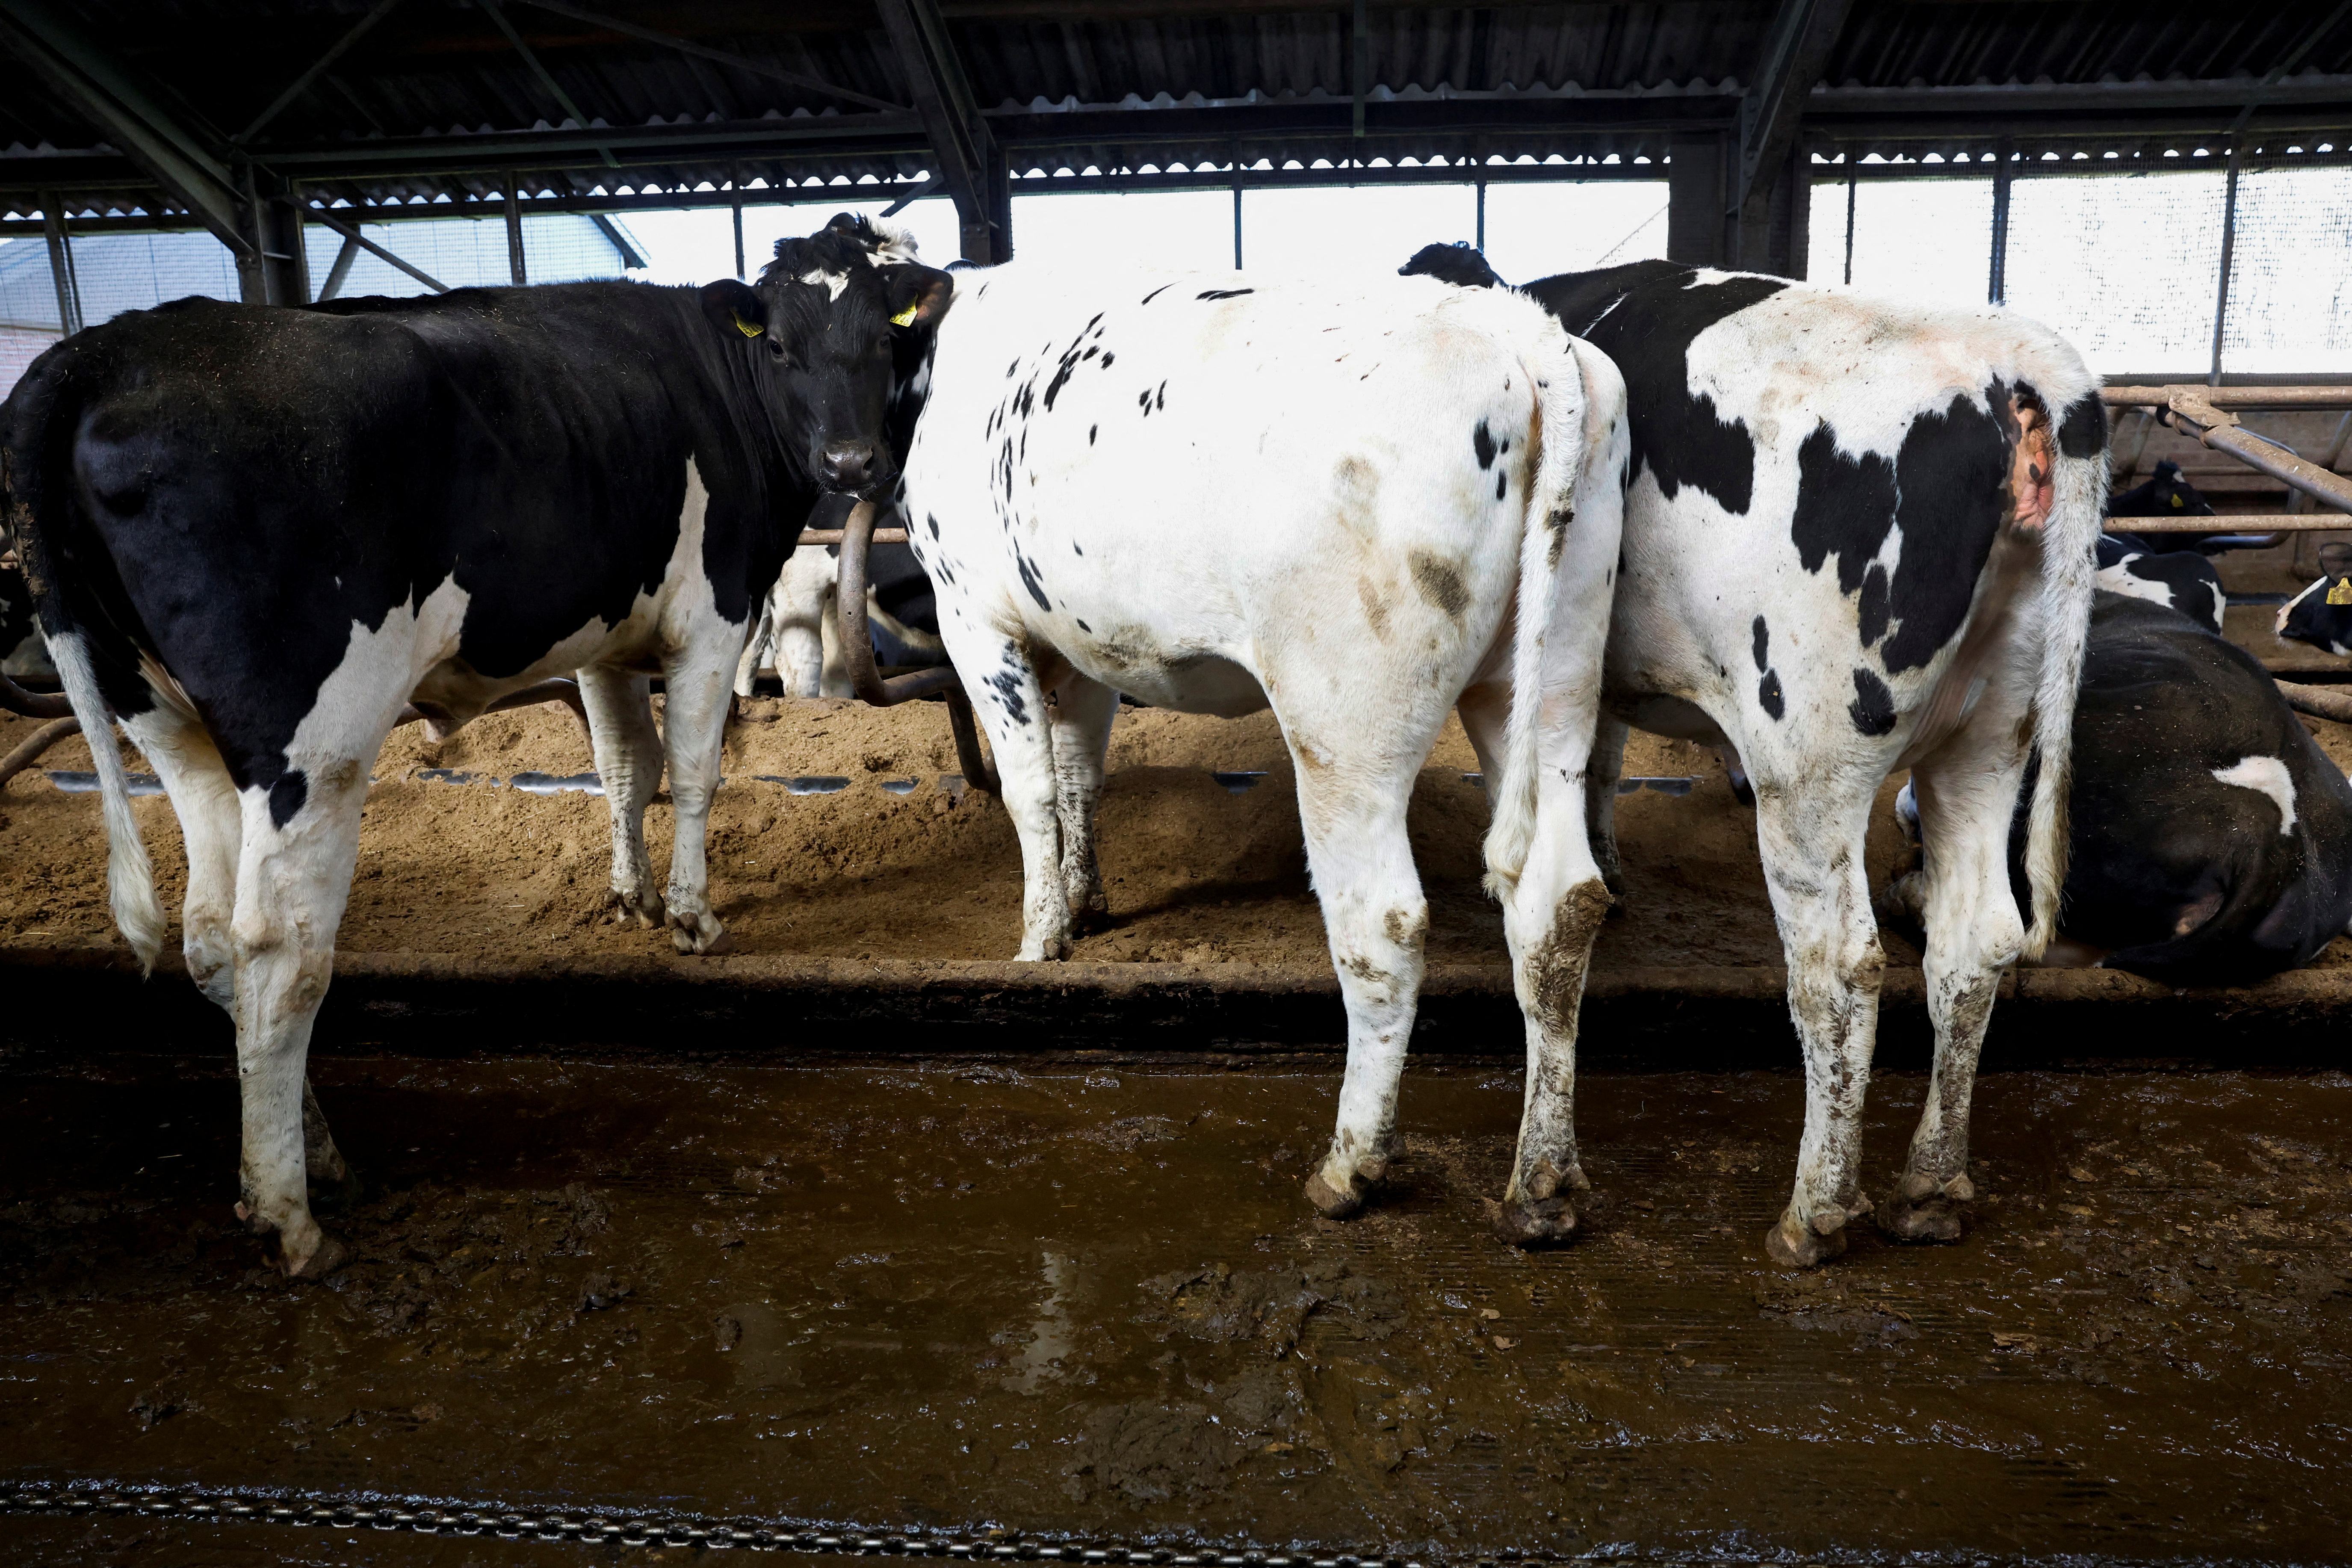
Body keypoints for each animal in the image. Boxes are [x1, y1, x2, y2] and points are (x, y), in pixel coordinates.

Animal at [7, 217, 955, 1279]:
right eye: (782, 346)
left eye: (883, 339)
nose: (850, 464)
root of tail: (104, 349)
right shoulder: (711, 617)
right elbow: (694, 771)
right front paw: (691, 916)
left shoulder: (606, 634)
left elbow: (624, 767)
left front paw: (629, 897)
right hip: (315, 738)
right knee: (278, 949)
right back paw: (293, 1213)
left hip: (165, 719)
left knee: (211, 937)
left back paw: (312, 1157)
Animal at [889, 261, 1628, 1250]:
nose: (837, 462)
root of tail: (1512, 323)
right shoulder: (1081, 644)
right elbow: (1081, 770)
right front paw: (1086, 902)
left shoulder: (971, 611)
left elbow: (1031, 788)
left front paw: (1040, 939)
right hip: (1550, 685)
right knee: (1558, 906)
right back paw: (1542, 1185)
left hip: (1344, 724)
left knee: (1382, 926)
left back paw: (1351, 1166)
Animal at [1402, 248, 2107, 1279]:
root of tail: (2007, 356)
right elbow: (1602, 758)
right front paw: (1612, 865)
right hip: (1991, 735)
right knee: (1973, 944)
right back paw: (1930, 1190)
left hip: (1807, 758)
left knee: (1839, 969)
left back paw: (1815, 1211)